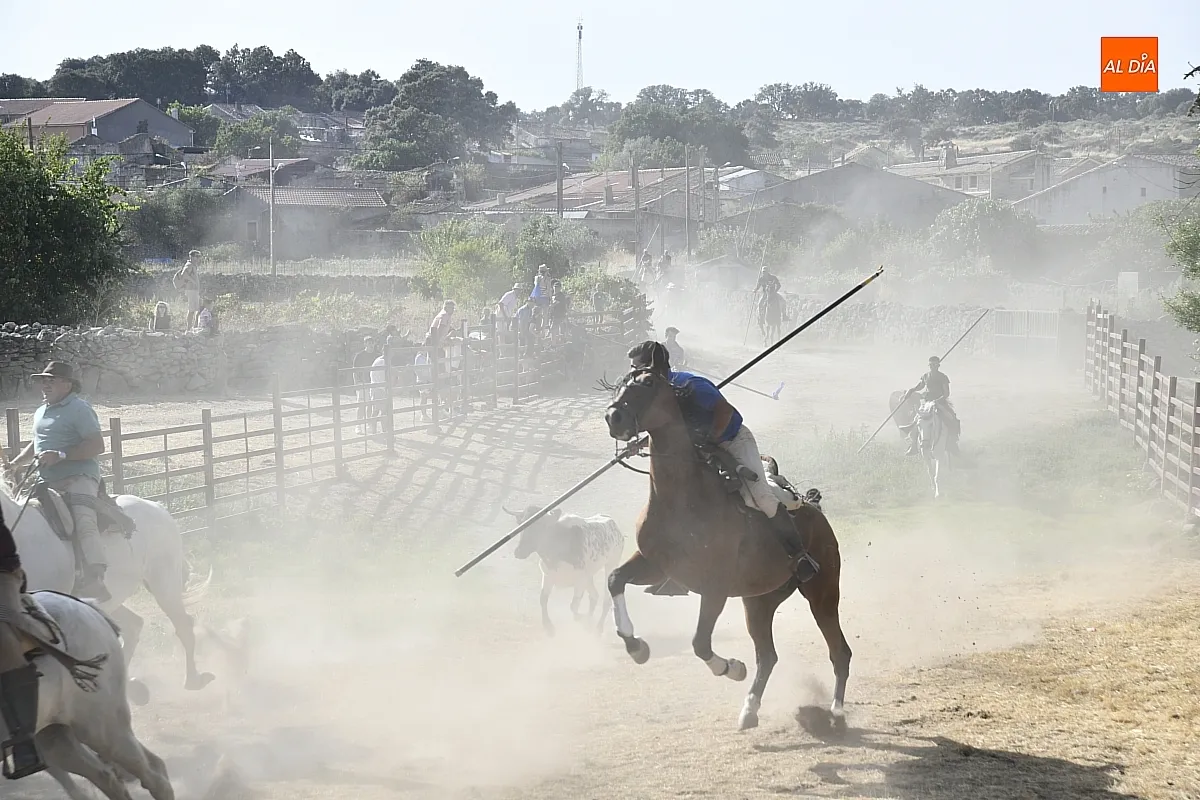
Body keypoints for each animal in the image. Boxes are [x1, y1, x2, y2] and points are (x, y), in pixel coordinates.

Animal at [602, 368, 852, 730]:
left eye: (647, 383)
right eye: (622, 382)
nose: (613, 417)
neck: (682, 499)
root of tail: (814, 508)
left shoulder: (715, 588)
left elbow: (700, 642)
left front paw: (731, 668)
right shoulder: (655, 564)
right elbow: (615, 580)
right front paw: (636, 647)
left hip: (823, 592)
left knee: (839, 652)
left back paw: (837, 711)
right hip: (759, 601)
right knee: (768, 656)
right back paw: (750, 709)